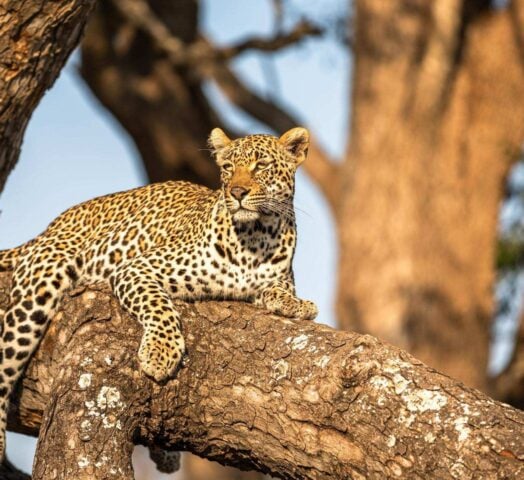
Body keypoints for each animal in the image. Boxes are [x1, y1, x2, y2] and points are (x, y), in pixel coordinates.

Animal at [0, 127, 318, 464]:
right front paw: (160, 352)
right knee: (5, 366)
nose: (236, 192)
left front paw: (297, 305)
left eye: (261, 166)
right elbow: (158, 305)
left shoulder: (276, 279)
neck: (256, 237)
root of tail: (50, 227)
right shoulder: (134, 268)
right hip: (39, 290)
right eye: (228, 168)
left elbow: (278, 290)